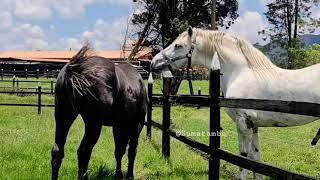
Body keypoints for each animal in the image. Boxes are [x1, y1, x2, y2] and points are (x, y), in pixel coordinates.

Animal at [51, 45, 146, 180]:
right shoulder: (137, 125)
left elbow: (119, 151)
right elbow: (131, 151)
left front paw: (119, 175)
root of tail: (75, 69)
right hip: (93, 123)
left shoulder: (118, 127)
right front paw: (129, 175)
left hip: (63, 116)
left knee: (57, 151)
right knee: (84, 151)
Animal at [150, 27, 320, 179]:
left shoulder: (244, 123)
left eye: (178, 45)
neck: (240, 73)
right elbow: (255, 158)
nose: (153, 63)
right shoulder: (254, 125)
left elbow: (243, 158)